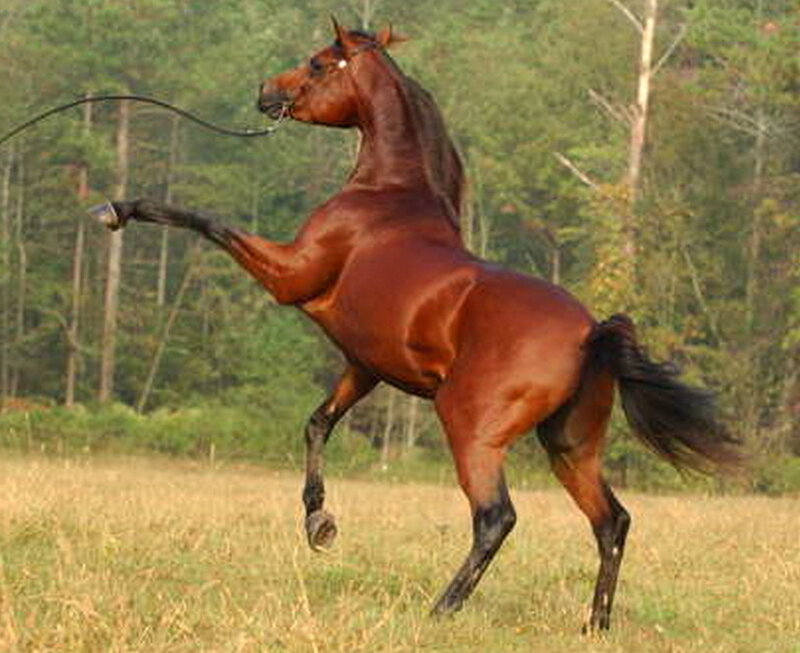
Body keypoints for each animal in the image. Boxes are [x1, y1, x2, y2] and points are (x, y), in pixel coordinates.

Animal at [103, 20, 740, 631]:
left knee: (496, 517)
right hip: (569, 445)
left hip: (472, 431)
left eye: (318, 62)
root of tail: (591, 332)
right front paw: (319, 522)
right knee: (612, 522)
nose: (267, 92)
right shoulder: (364, 365)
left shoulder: (290, 277)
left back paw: (443, 609)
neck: (388, 195)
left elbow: (208, 222)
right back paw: (595, 625)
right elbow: (317, 424)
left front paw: (121, 208)